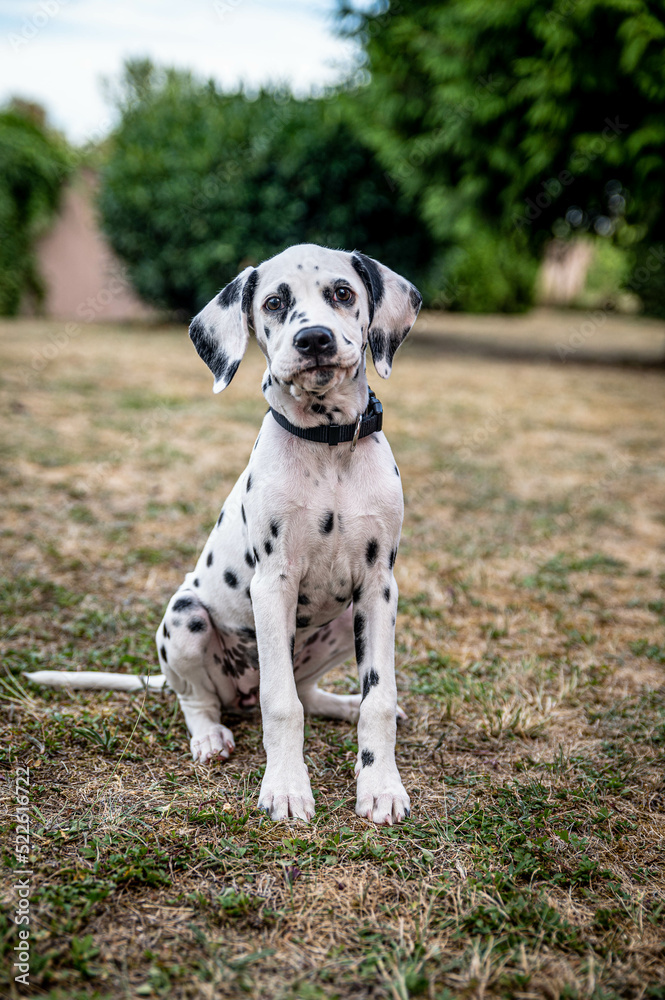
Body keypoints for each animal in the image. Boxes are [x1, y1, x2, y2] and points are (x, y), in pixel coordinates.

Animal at [27, 244, 420, 828]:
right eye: (275, 302)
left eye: (343, 293)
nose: (314, 339)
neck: (327, 447)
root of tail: (239, 695)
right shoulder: (272, 584)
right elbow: (281, 705)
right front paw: (286, 788)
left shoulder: (378, 588)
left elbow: (377, 699)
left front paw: (380, 785)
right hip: (185, 618)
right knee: (200, 700)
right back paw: (210, 736)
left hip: (339, 622)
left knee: (309, 692)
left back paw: (340, 704)